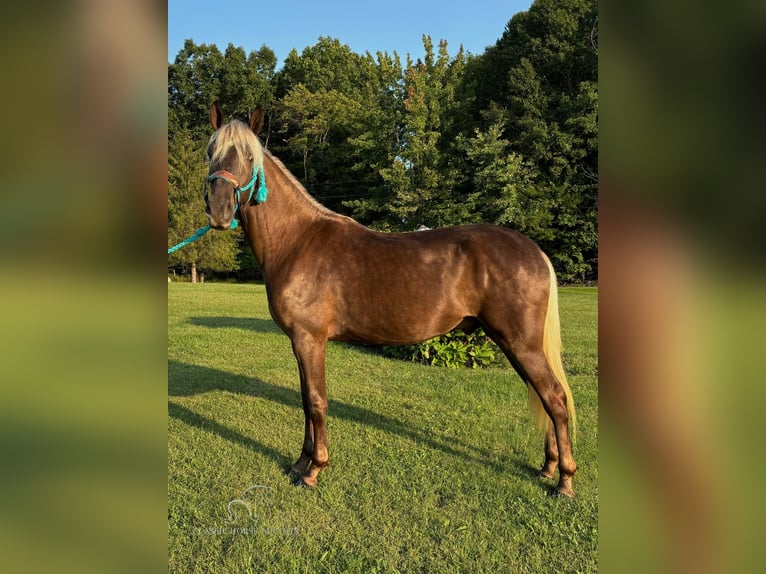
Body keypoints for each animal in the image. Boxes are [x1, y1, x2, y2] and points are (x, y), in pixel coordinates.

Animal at [201, 103, 580, 500]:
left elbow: (316, 402)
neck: (298, 240)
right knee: (543, 396)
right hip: (513, 344)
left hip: (520, 343)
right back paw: (548, 467)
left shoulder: (309, 339)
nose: (219, 210)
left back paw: (565, 481)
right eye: (210, 152)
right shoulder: (301, 342)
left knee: (555, 398)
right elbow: (306, 400)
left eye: (247, 156)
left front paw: (314, 470)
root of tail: (534, 250)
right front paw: (299, 463)